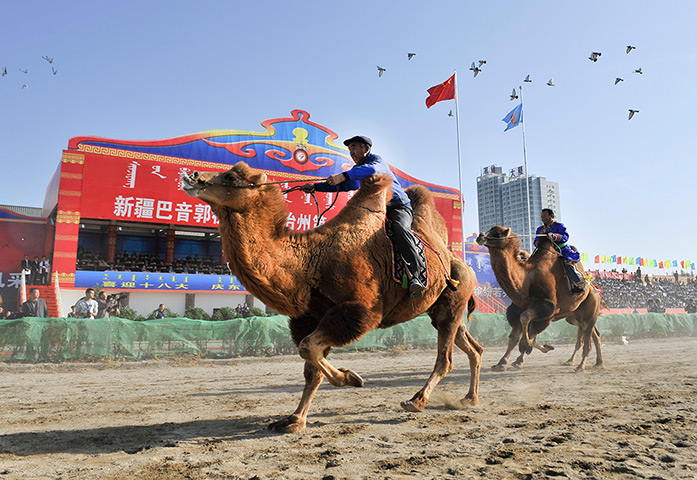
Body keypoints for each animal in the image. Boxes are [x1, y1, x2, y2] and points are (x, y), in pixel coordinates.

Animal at [181, 162, 483, 433]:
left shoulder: (358, 311)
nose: (192, 176)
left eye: (232, 177)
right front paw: (294, 420)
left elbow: (308, 348)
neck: (310, 264)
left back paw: (417, 401)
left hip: (451, 301)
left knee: (445, 358)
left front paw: (351, 378)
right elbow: (310, 368)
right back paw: (469, 398)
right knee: (472, 347)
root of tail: (462, 264)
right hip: (442, 310)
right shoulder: (309, 317)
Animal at [476, 225, 603, 372]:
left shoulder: (548, 309)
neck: (528, 279)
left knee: (588, 338)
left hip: (590, 311)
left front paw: (525, 349)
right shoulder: (518, 309)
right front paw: (502, 363)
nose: (480, 236)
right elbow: (515, 337)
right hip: (574, 316)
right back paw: (594, 362)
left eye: (496, 233)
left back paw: (581, 366)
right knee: (593, 333)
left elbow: (527, 323)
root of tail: (594, 288)